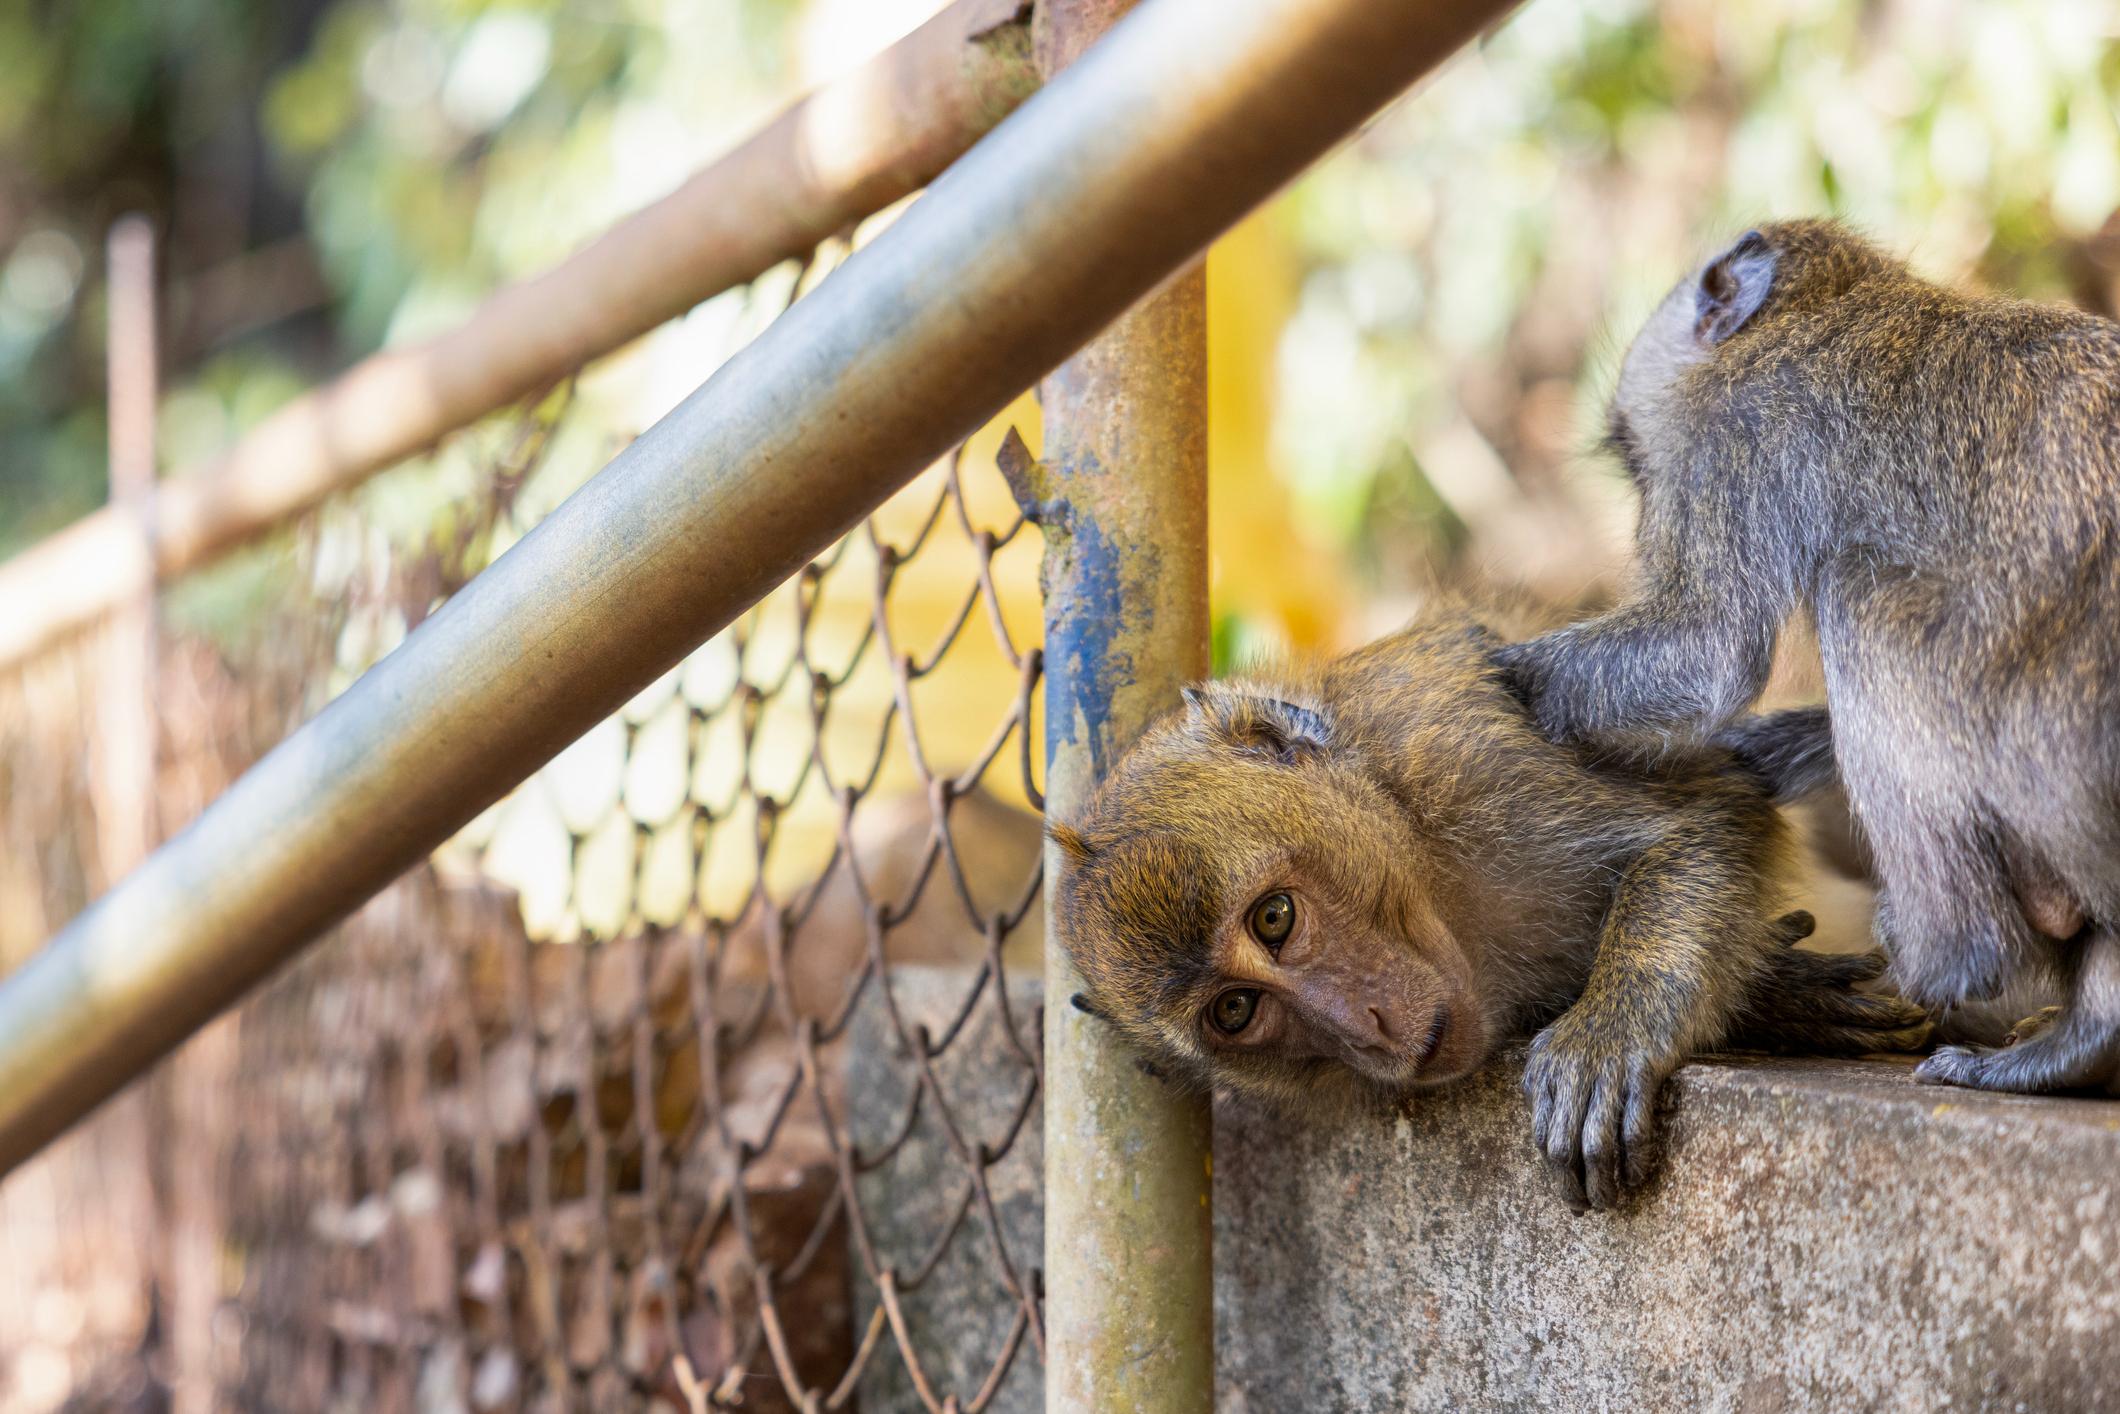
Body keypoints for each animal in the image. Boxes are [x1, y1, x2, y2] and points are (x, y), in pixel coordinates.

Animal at [1051, 602, 1933, 1212]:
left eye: (1274, 918)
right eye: (1235, 1011)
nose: (1368, 1027)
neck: (1424, 852)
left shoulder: (1470, 757)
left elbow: (1705, 822)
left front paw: (1612, 1031)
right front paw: (1783, 998)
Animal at [1500, 218, 2120, 1093]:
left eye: (1638, 458)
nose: (1638, 509)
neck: (1829, 305)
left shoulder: (1730, 437)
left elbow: (1707, 643)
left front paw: (1502, 674)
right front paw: (1759, 754)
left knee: (1858, 600)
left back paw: (1959, 953)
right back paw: (2089, 1033)